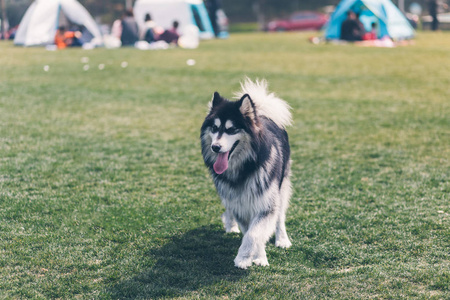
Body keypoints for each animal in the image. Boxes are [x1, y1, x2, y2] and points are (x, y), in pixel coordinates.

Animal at [200, 78, 292, 270]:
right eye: (214, 128)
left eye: (231, 129)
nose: (215, 147)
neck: (243, 168)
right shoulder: (239, 203)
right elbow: (249, 230)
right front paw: (255, 255)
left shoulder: (266, 203)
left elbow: (254, 233)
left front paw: (245, 258)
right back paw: (230, 225)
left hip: (282, 186)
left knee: (280, 216)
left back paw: (282, 239)